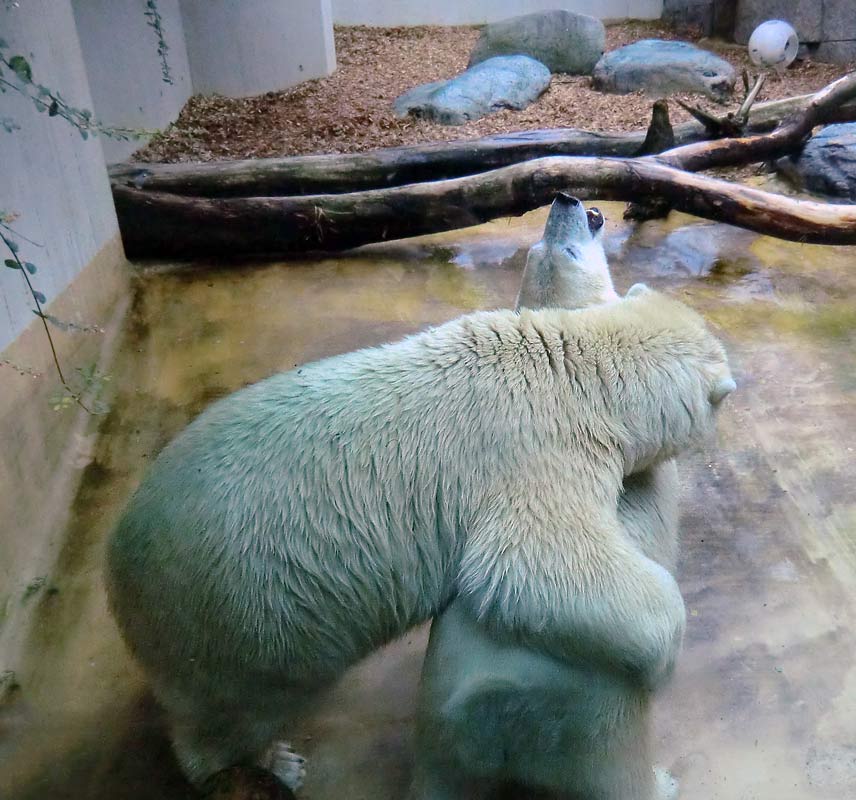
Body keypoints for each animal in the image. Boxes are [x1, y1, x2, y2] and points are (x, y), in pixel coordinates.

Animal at [107, 272, 736, 792]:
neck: (574, 370)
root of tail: (116, 566)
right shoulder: (536, 452)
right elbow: (536, 565)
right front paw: (663, 658)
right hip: (235, 614)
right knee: (234, 707)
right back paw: (275, 762)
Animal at [410, 195, 696, 800]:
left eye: (538, 246)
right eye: (565, 247)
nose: (566, 200)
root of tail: (500, 705)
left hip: (442, 721)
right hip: (599, 725)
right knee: (618, 773)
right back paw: (663, 779)